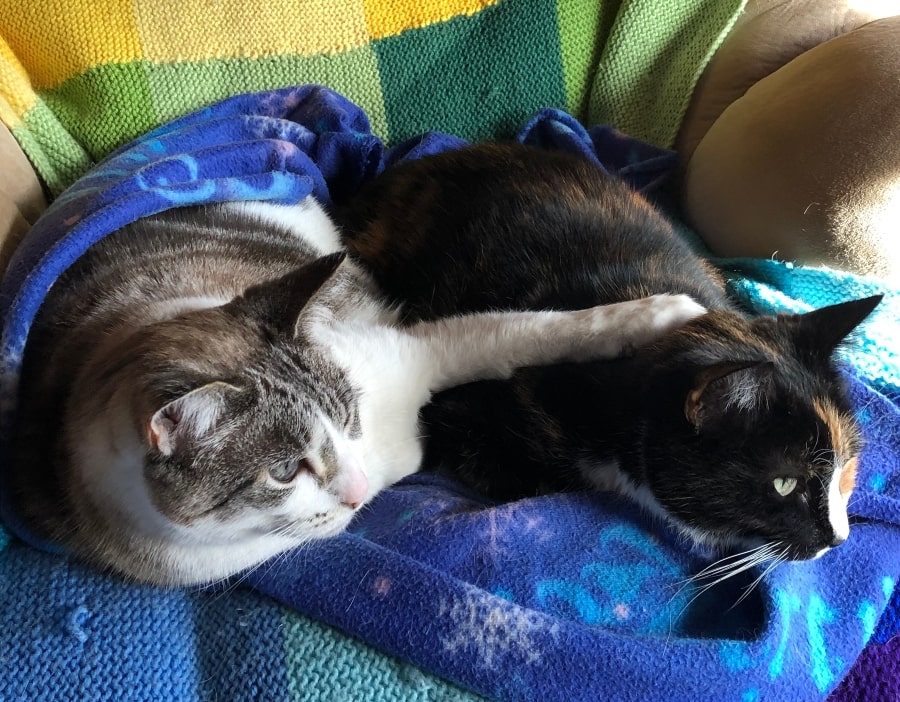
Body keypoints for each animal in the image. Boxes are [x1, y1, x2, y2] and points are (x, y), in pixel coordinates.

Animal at [10, 195, 708, 584]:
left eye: (348, 418)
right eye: (284, 470)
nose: (359, 488)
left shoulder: (418, 352)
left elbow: (532, 331)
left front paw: (662, 315)